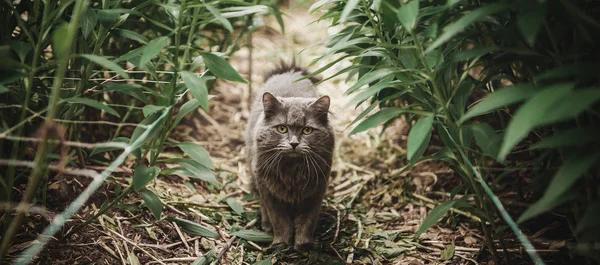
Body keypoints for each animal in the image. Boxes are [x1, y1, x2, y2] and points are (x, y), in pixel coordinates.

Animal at [245, 63, 338, 249]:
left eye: (307, 130)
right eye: (282, 128)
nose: (294, 143)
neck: (292, 172)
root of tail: (290, 72)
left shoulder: (316, 191)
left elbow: (307, 221)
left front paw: (304, 244)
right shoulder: (269, 191)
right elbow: (279, 220)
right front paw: (281, 243)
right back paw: (266, 225)